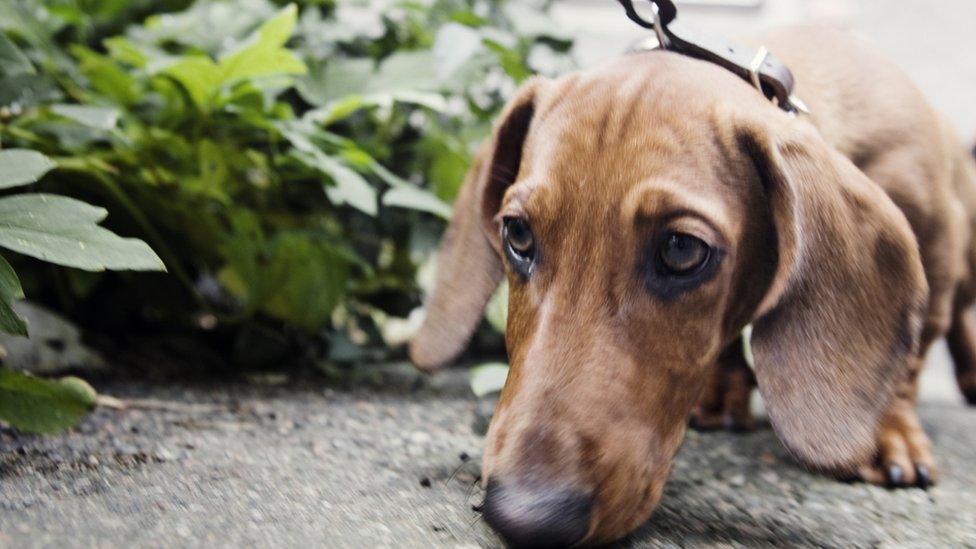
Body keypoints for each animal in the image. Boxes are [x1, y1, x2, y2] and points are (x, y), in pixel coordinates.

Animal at [406, 24, 976, 544]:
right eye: (517, 234)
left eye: (682, 250)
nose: (523, 516)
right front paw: (723, 388)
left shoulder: (935, 245)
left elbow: (915, 351)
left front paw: (889, 432)